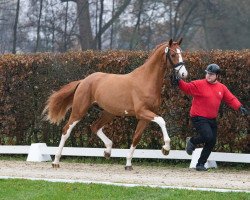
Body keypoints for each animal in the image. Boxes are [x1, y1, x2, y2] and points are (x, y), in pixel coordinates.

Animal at [43, 38, 188, 170]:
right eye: (173, 54)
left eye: (182, 52)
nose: (184, 74)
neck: (146, 80)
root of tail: (83, 81)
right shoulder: (142, 112)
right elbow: (162, 121)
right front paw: (166, 148)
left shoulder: (145, 117)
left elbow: (136, 138)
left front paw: (128, 164)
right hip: (79, 111)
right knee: (66, 130)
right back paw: (55, 161)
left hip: (109, 113)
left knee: (95, 127)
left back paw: (107, 151)